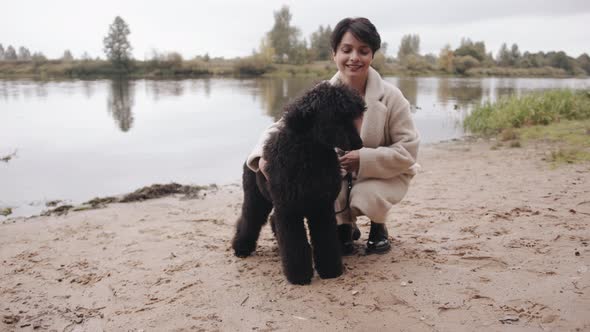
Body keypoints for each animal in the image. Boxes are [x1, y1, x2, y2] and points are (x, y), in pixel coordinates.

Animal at [231, 83, 366, 286]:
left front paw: (331, 271)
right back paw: (241, 248)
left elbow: (326, 240)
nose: (359, 143)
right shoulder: (290, 211)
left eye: (352, 117)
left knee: (271, 220)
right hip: (257, 199)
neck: (308, 154)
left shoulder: (321, 208)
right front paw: (299, 276)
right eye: (335, 116)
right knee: (249, 220)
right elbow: (294, 245)